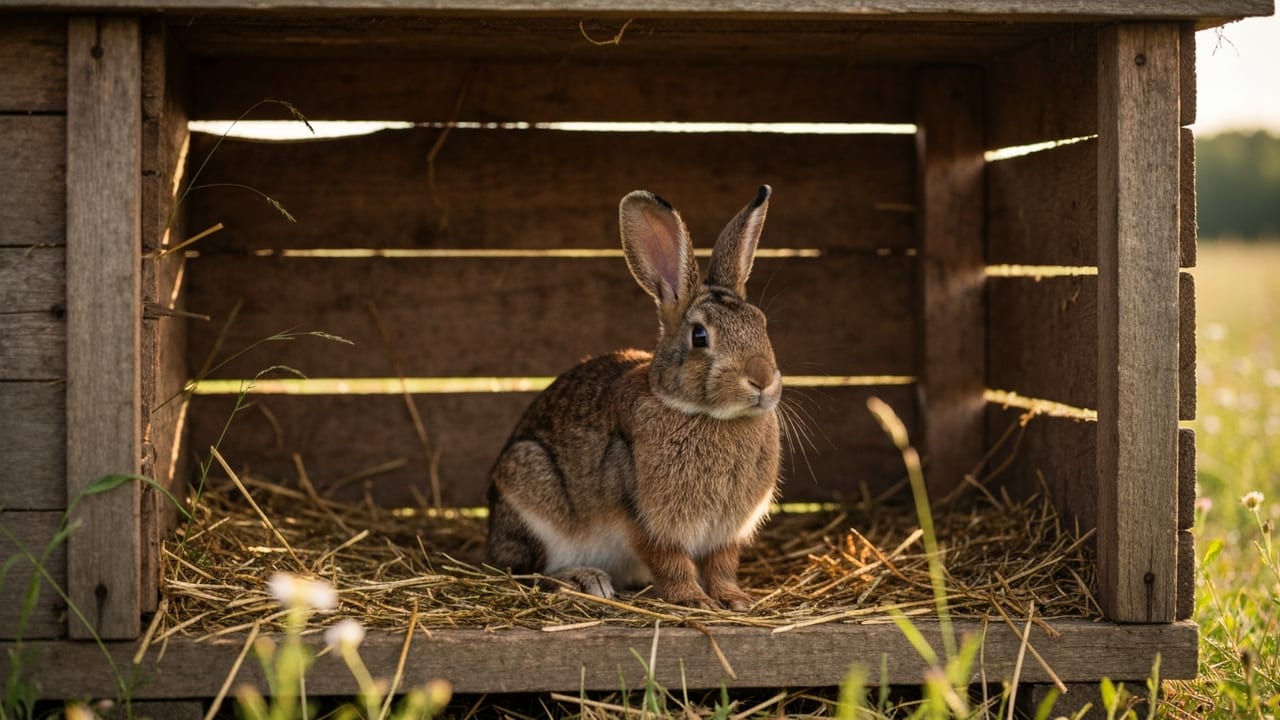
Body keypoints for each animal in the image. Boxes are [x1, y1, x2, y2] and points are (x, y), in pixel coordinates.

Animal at [484, 185, 782, 611]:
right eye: (700, 337)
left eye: (761, 324)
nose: (762, 381)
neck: (704, 413)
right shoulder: (644, 518)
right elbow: (670, 562)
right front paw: (694, 600)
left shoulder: (725, 535)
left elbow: (722, 566)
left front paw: (735, 600)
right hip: (528, 483)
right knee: (527, 570)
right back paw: (586, 579)